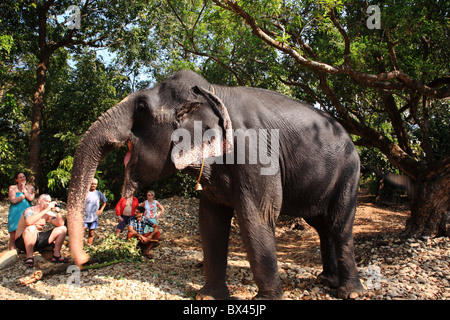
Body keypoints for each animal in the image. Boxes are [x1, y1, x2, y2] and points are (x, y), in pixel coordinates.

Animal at [66, 70, 362, 300]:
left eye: (141, 108)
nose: (84, 260)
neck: (213, 93)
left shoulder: (255, 154)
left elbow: (256, 215)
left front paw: (265, 299)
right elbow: (210, 220)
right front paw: (208, 296)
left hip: (349, 173)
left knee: (339, 224)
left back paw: (349, 291)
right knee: (322, 227)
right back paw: (326, 280)